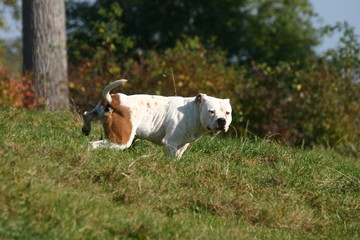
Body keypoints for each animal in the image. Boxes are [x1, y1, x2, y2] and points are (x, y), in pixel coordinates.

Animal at [82, 79, 233, 158]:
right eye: (211, 111)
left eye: (227, 113)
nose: (222, 121)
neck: (194, 111)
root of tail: (113, 100)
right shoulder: (170, 143)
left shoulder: (183, 144)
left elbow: (178, 156)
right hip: (121, 141)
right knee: (93, 144)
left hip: (99, 113)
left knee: (87, 114)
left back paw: (86, 129)